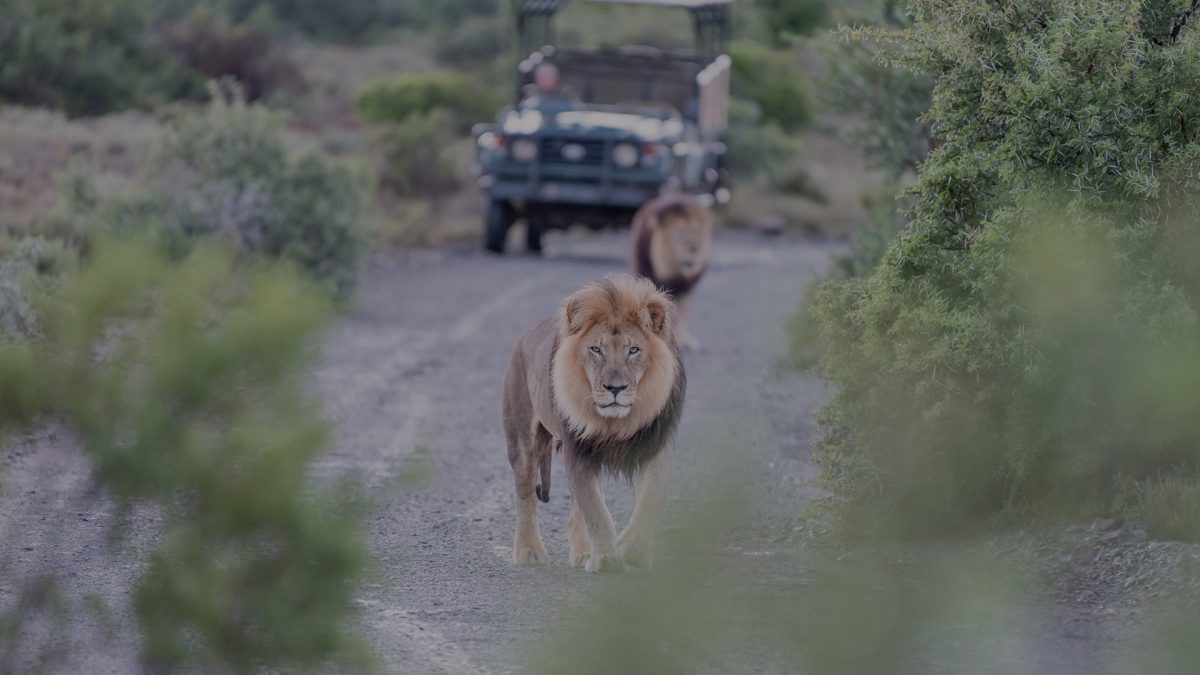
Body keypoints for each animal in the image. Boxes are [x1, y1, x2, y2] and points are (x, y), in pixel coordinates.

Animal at [501, 274, 686, 573]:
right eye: (596, 350)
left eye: (633, 350)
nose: (615, 388)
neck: (618, 423)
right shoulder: (578, 451)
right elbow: (596, 511)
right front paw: (607, 559)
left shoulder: (656, 447)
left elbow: (649, 502)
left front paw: (631, 550)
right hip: (521, 441)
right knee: (526, 494)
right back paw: (529, 552)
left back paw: (582, 554)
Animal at [630, 194, 713, 350]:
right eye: (681, 233)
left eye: (697, 233)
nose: (694, 248)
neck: (675, 274)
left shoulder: (687, 288)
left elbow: (683, 313)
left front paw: (683, 340)